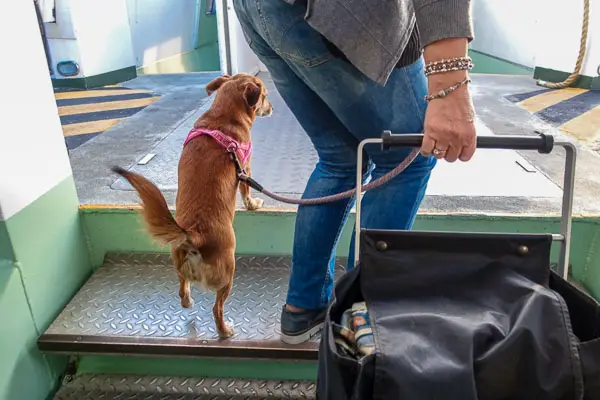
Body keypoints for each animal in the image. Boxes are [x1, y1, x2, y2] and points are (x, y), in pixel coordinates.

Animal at [112, 74, 272, 338]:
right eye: (266, 96)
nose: (272, 107)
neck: (222, 117)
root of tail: (194, 236)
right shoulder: (245, 169)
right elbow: (247, 193)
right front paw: (254, 204)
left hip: (179, 265)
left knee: (181, 288)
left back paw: (187, 302)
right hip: (228, 273)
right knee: (217, 308)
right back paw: (224, 330)